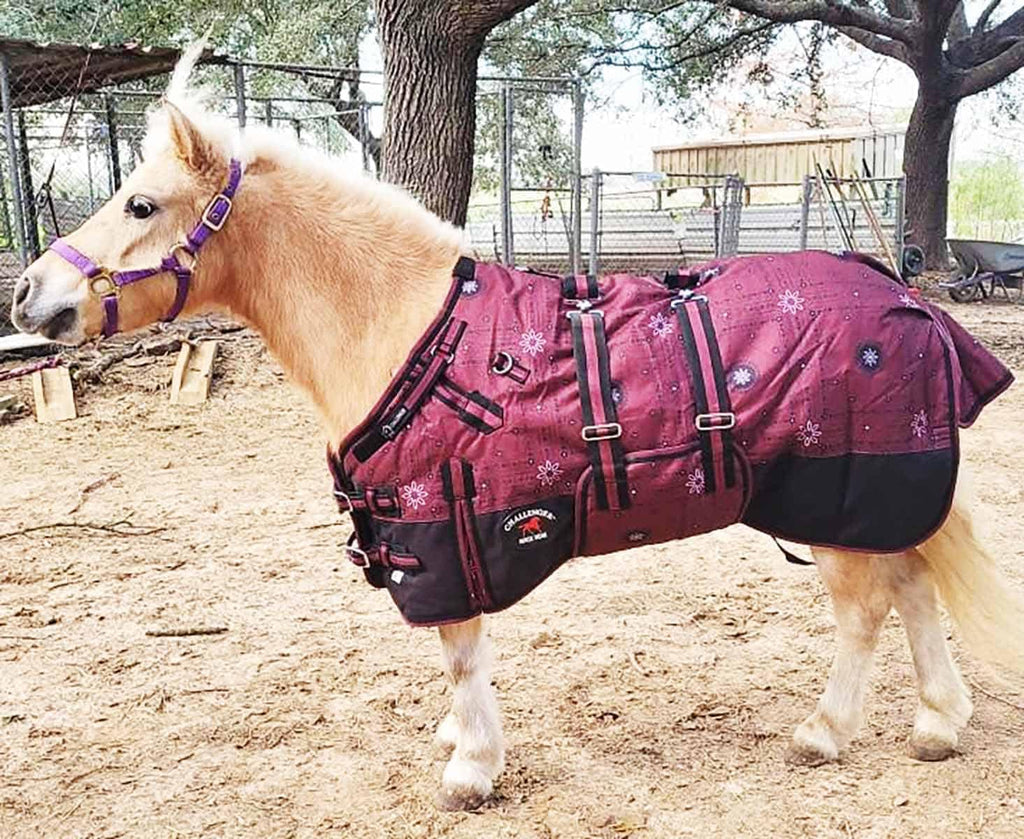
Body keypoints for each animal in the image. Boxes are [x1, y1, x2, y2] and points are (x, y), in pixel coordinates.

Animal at [10, 48, 1024, 811]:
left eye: (142, 204)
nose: (27, 293)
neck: (409, 327)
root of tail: (905, 297)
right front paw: (461, 741)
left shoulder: (442, 537)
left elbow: (460, 654)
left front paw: (471, 766)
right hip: (872, 502)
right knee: (914, 586)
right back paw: (938, 722)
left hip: (837, 500)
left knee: (866, 609)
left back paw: (825, 731)